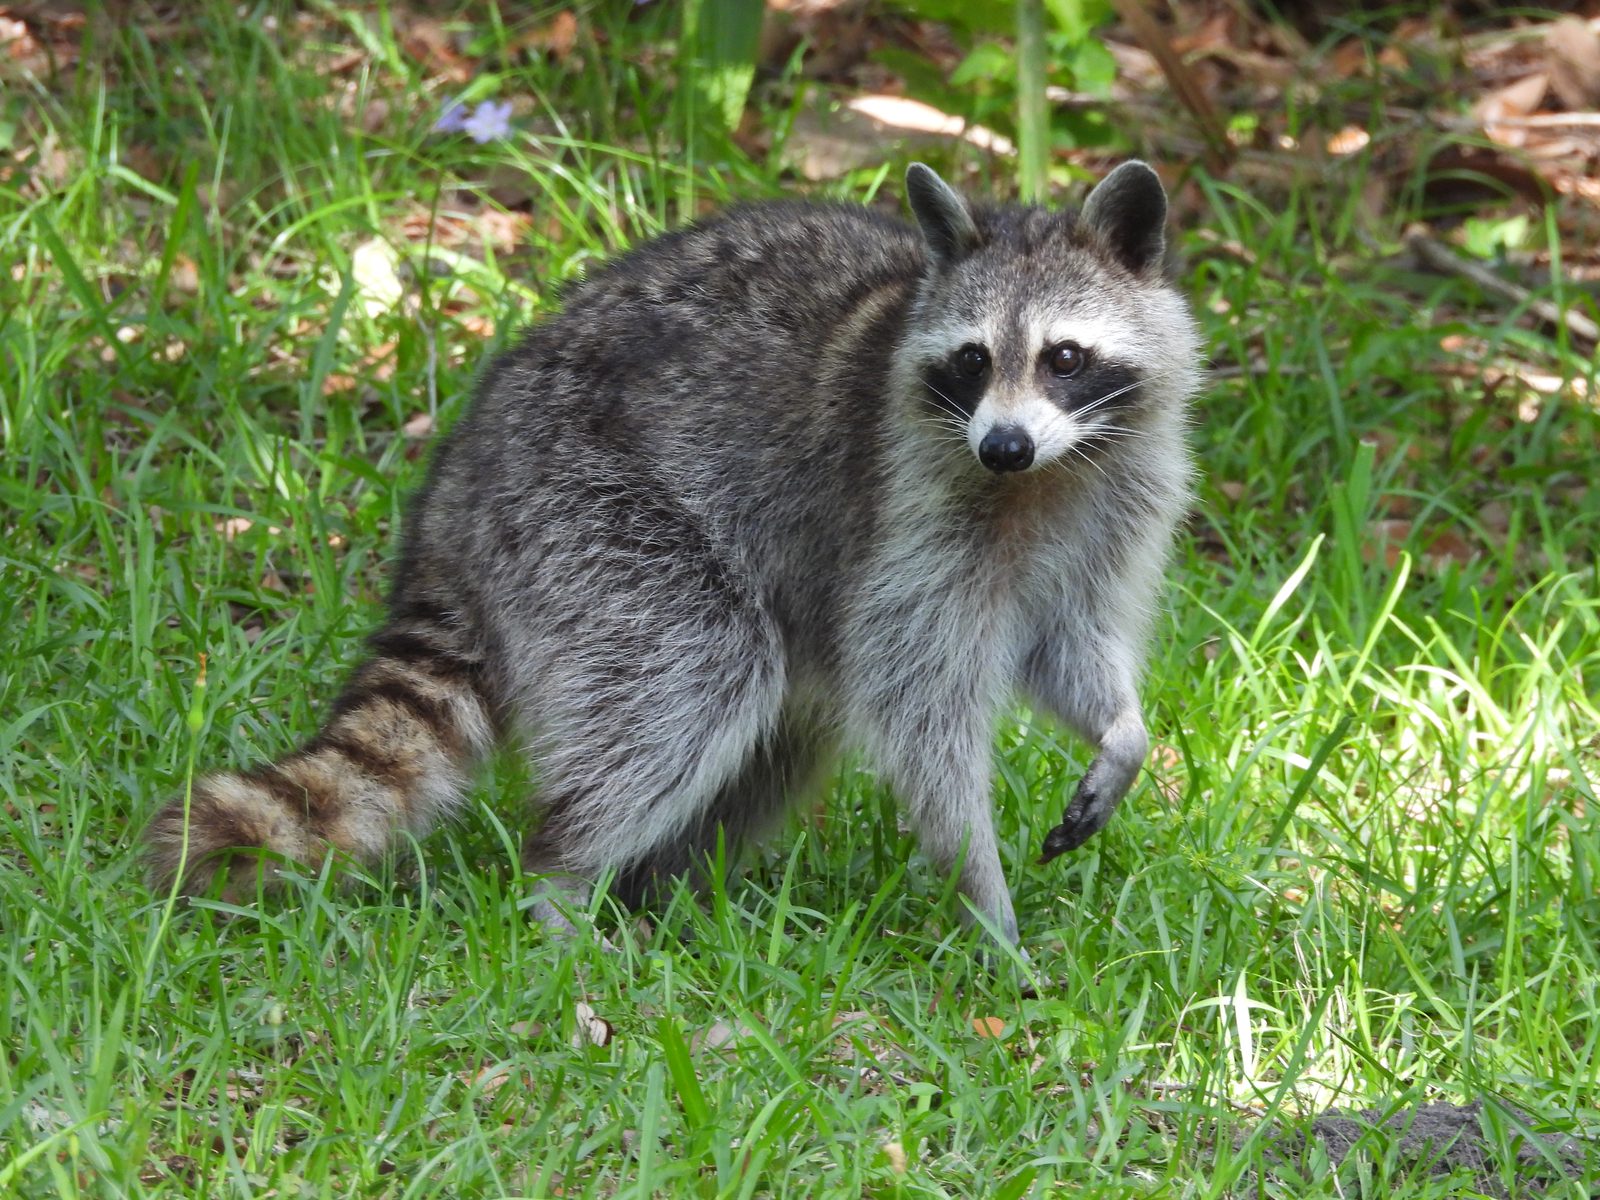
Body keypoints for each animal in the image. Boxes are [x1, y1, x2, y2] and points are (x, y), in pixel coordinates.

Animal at [146, 161, 1200, 949]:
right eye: (974, 361)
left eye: (1064, 358)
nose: (1003, 444)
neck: (1047, 476)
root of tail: (460, 485)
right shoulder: (912, 510)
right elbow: (918, 705)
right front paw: (980, 891)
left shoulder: (1118, 498)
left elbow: (1066, 643)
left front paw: (1122, 734)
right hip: (586, 512)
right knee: (694, 675)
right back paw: (566, 878)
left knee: (774, 729)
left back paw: (668, 887)